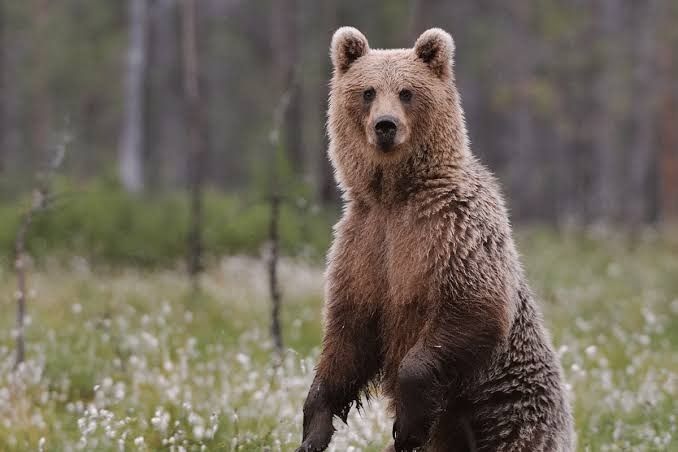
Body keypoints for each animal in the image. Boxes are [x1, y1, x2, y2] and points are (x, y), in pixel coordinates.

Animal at [296, 28, 572, 452]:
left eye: (407, 92)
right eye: (368, 91)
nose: (386, 126)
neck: (395, 195)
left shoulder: (452, 233)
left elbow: (472, 308)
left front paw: (407, 425)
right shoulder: (363, 243)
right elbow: (348, 336)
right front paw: (315, 426)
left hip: (512, 407)